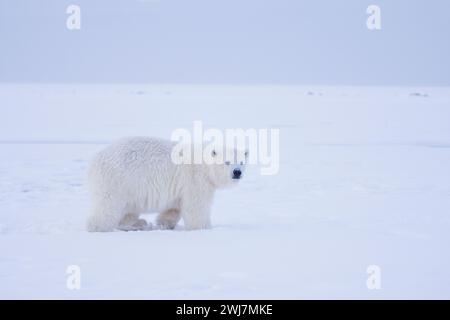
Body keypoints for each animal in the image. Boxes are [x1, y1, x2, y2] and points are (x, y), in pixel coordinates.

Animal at [86, 136, 248, 231]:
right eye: (227, 162)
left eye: (241, 162)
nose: (237, 172)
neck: (203, 163)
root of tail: (95, 160)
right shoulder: (195, 180)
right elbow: (196, 206)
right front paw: (205, 227)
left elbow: (174, 208)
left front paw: (164, 223)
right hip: (117, 181)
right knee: (107, 206)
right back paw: (101, 227)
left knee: (128, 211)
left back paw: (138, 223)